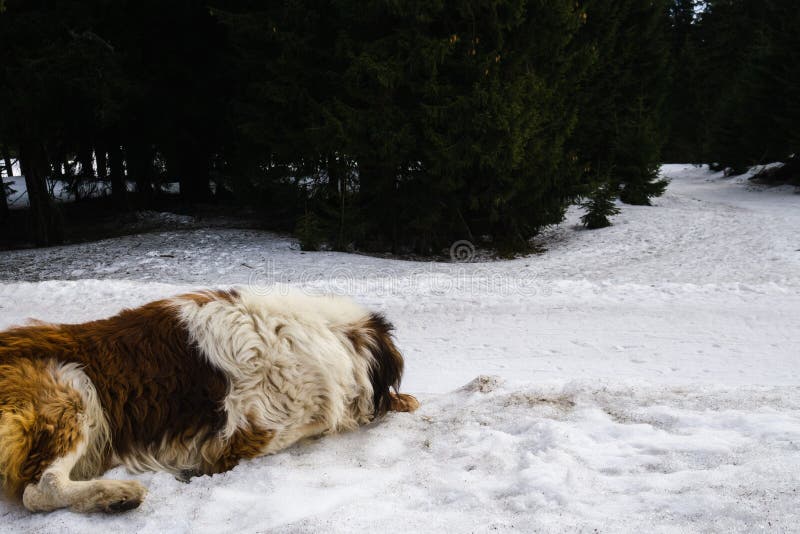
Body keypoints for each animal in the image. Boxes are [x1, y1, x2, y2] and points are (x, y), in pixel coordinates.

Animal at [0, 288, 422, 516]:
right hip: (73, 386)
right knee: (40, 488)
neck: (330, 335)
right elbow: (317, 424)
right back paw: (117, 495)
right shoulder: (252, 434)